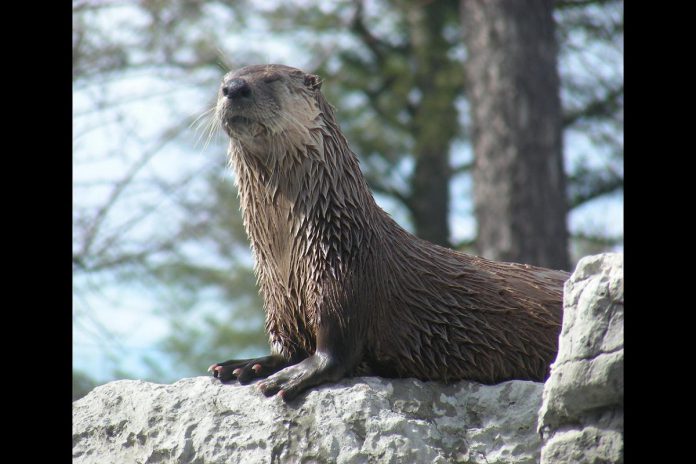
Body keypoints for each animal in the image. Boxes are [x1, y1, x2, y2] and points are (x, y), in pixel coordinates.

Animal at [208, 64, 569, 401]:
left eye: (271, 79)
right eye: (223, 80)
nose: (234, 88)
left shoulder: (344, 274)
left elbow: (335, 350)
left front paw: (294, 375)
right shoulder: (277, 293)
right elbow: (285, 345)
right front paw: (250, 364)